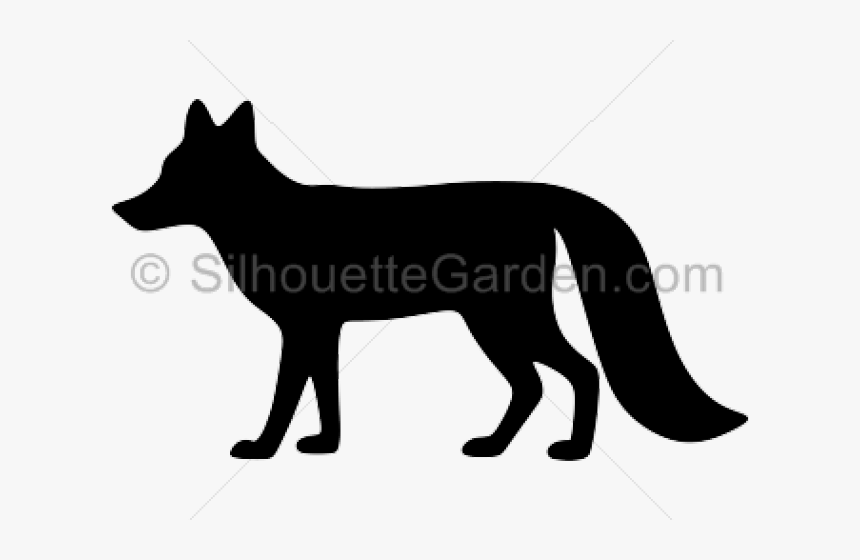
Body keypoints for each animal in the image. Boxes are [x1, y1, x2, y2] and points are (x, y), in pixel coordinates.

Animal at [114, 100, 746, 461]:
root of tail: (537, 196)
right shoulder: (322, 331)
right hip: (493, 326)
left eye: (177, 175)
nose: (122, 209)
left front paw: (263, 449)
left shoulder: (300, 331)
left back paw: (572, 452)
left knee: (579, 371)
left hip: (504, 322)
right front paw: (324, 447)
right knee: (531, 386)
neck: (269, 217)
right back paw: (493, 447)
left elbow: (286, 394)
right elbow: (326, 394)